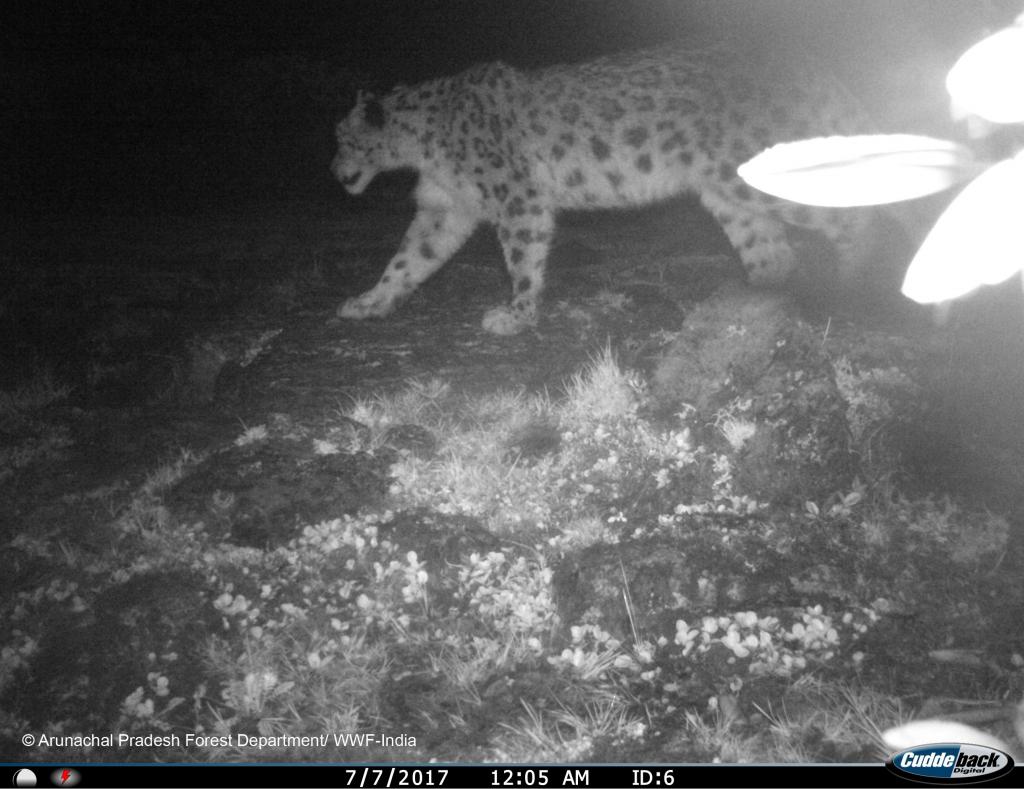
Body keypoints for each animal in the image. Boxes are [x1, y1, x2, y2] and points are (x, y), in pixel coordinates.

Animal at [331, 39, 877, 335]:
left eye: (343, 139)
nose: (334, 172)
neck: (424, 148)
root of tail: (806, 68)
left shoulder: (518, 199)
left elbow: (522, 258)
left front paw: (517, 314)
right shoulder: (444, 208)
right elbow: (407, 259)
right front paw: (369, 302)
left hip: (761, 181)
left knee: (852, 214)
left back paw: (854, 283)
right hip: (728, 195)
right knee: (774, 253)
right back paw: (751, 302)